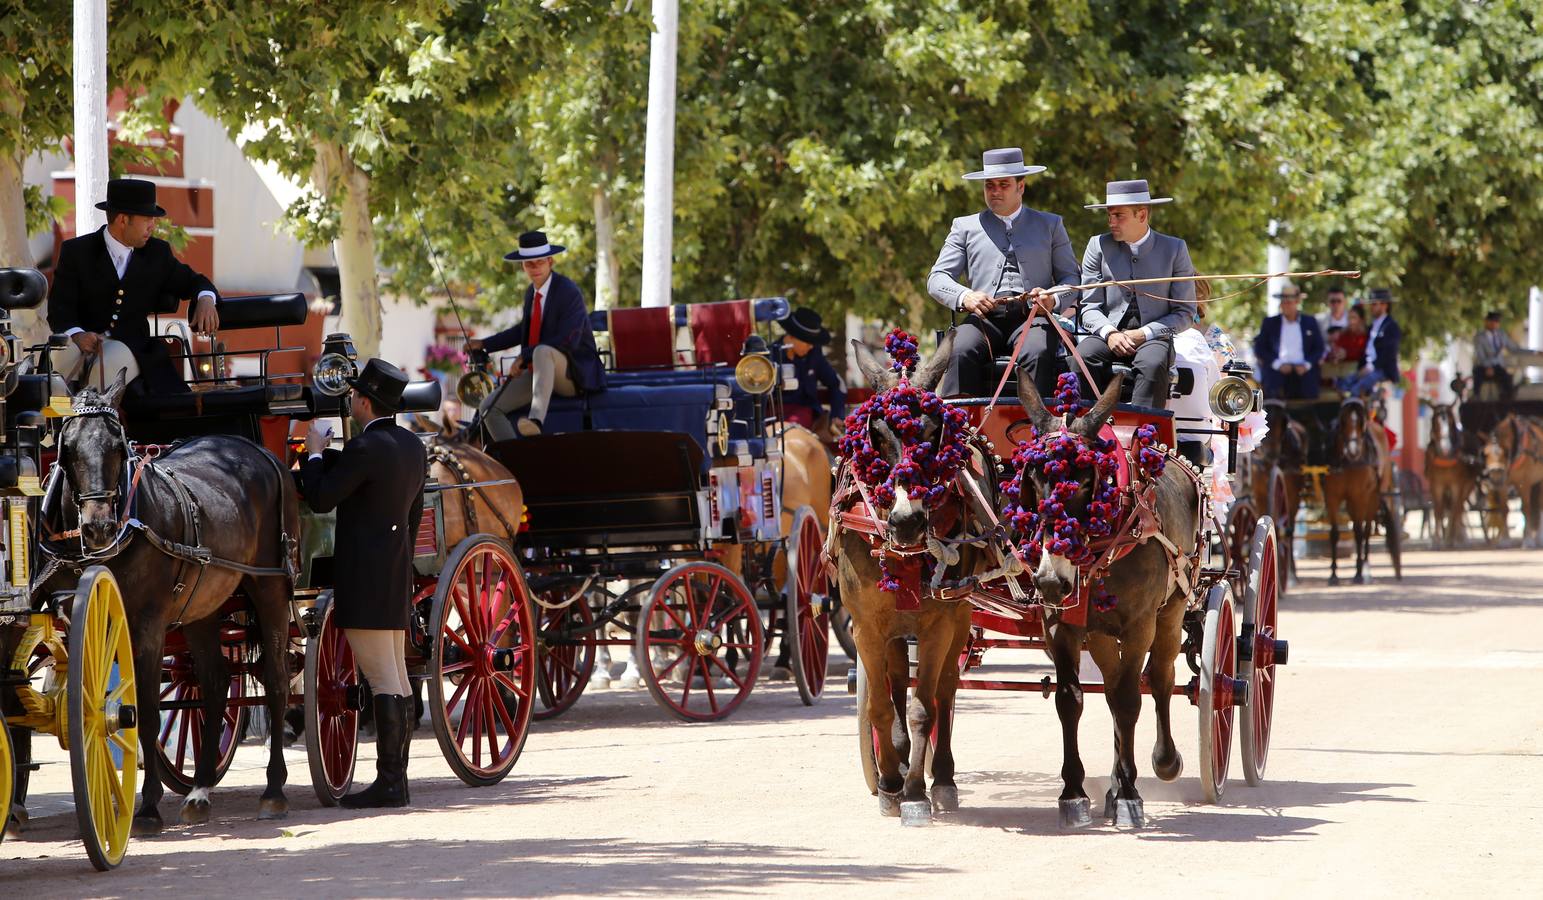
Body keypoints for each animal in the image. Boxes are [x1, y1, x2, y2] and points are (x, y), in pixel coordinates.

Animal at [43, 373, 299, 839]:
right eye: (66, 447)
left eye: (118, 444)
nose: (98, 526)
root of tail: (256, 450)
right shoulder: (83, 620)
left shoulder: (147, 624)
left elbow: (143, 709)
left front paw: (146, 807)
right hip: (203, 606)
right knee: (215, 681)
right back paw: (199, 791)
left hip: (270, 586)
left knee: (275, 680)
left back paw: (274, 789)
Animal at [839, 330, 993, 821]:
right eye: (876, 434)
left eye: (930, 434)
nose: (907, 522)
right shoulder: (867, 625)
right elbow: (881, 708)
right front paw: (890, 784)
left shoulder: (938, 623)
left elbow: (926, 708)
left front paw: (915, 793)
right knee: (894, 686)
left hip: (959, 616)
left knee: (944, 694)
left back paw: (940, 777)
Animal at [1012, 375, 1203, 833]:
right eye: (1033, 481)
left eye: (1086, 483)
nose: (1050, 580)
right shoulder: (1060, 624)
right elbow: (1071, 700)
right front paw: (1073, 793)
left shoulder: (1139, 626)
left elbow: (1133, 699)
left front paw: (1132, 794)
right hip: (1099, 633)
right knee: (1115, 687)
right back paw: (1114, 787)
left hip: (1171, 612)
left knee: (1160, 679)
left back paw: (1160, 764)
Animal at [1314, 398, 1388, 583]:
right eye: (1343, 422)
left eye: (1361, 423)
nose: (1354, 451)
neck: (1348, 462)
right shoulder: (1332, 497)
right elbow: (1334, 533)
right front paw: (1333, 574)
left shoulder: (1360, 496)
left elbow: (1359, 532)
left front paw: (1359, 573)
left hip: (1374, 496)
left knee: (1366, 530)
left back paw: (1366, 566)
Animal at [1419, 404, 1468, 549]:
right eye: (1435, 421)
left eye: (1451, 421)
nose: (1445, 448)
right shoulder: (1435, 485)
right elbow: (1438, 511)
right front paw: (1436, 540)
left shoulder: (1458, 485)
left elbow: (1454, 509)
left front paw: (1451, 538)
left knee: (1458, 508)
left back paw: (1457, 536)